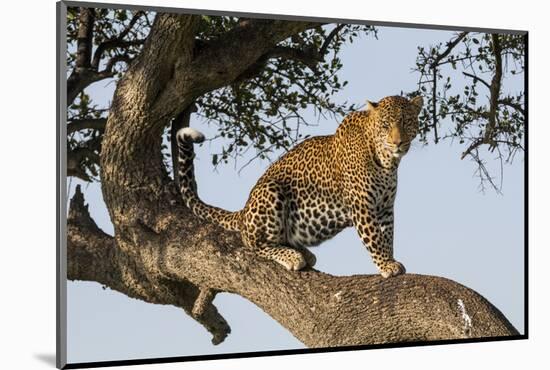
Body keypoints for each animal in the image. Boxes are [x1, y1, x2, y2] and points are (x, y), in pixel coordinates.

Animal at [178, 95, 426, 278]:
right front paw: (386, 265)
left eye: (406, 122)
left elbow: (388, 237)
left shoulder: (385, 208)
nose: (398, 142)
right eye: (385, 125)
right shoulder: (362, 206)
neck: (386, 161)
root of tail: (244, 210)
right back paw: (293, 257)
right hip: (270, 192)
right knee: (254, 244)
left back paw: (304, 253)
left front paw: (390, 259)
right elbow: (375, 238)